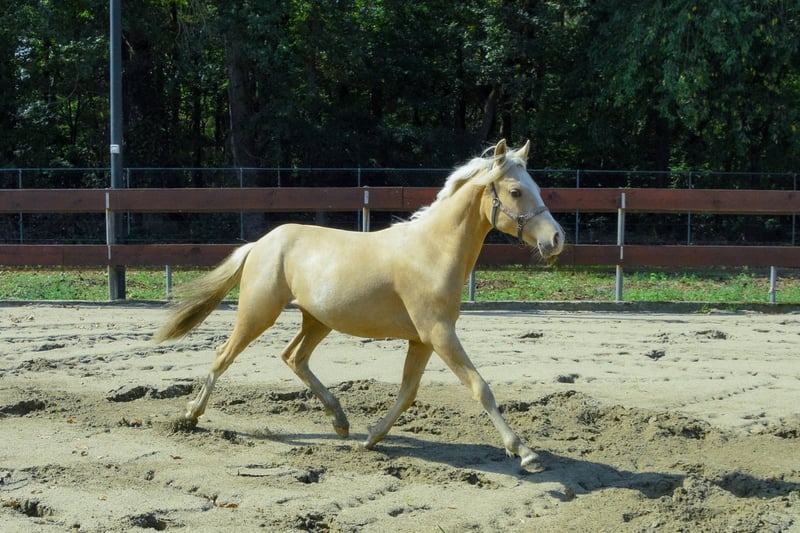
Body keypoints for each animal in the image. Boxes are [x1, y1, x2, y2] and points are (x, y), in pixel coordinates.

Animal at [155, 139, 565, 470]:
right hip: (258, 313)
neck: (432, 252)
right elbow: (480, 387)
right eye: (516, 191)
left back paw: (340, 421)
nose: (556, 239)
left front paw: (372, 437)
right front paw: (525, 453)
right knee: (224, 355)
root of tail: (261, 243)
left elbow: (408, 392)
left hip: (317, 320)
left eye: (536, 187)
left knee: (294, 357)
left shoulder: (422, 339)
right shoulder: (439, 333)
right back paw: (190, 416)